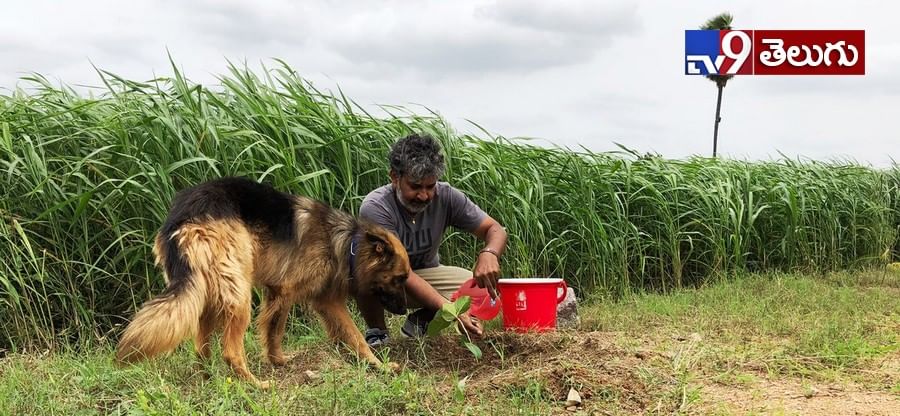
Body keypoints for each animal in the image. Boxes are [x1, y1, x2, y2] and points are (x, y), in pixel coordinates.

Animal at [114, 177, 410, 388]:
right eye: (399, 278)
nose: (405, 310)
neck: (347, 243)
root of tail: (181, 216)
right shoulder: (290, 293)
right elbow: (282, 329)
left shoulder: (308, 299)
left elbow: (346, 335)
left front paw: (278, 360)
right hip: (238, 296)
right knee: (230, 351)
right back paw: (255, 384)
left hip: (208, 294)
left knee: (201, 346)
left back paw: (209, 377)